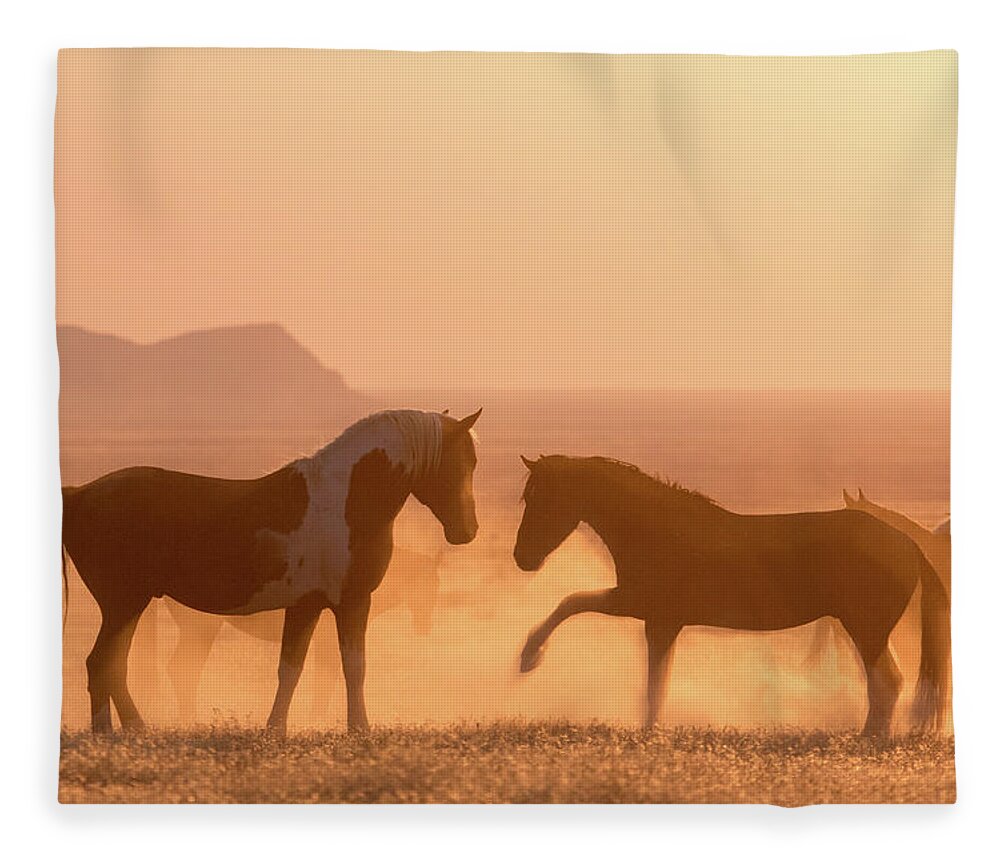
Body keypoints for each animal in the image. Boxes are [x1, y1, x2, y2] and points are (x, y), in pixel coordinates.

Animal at [512, 454, 948, 736]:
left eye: (540, 497)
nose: (522, 558)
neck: (658, 529)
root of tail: (909, 545)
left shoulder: (643, 608)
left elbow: (574, 603)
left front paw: (529, 656)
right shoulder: (659, 620)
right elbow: (656, 681)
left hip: (866, 630)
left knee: (886, 683)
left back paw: (868, 742)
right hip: (867, 631)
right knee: (886, 684)